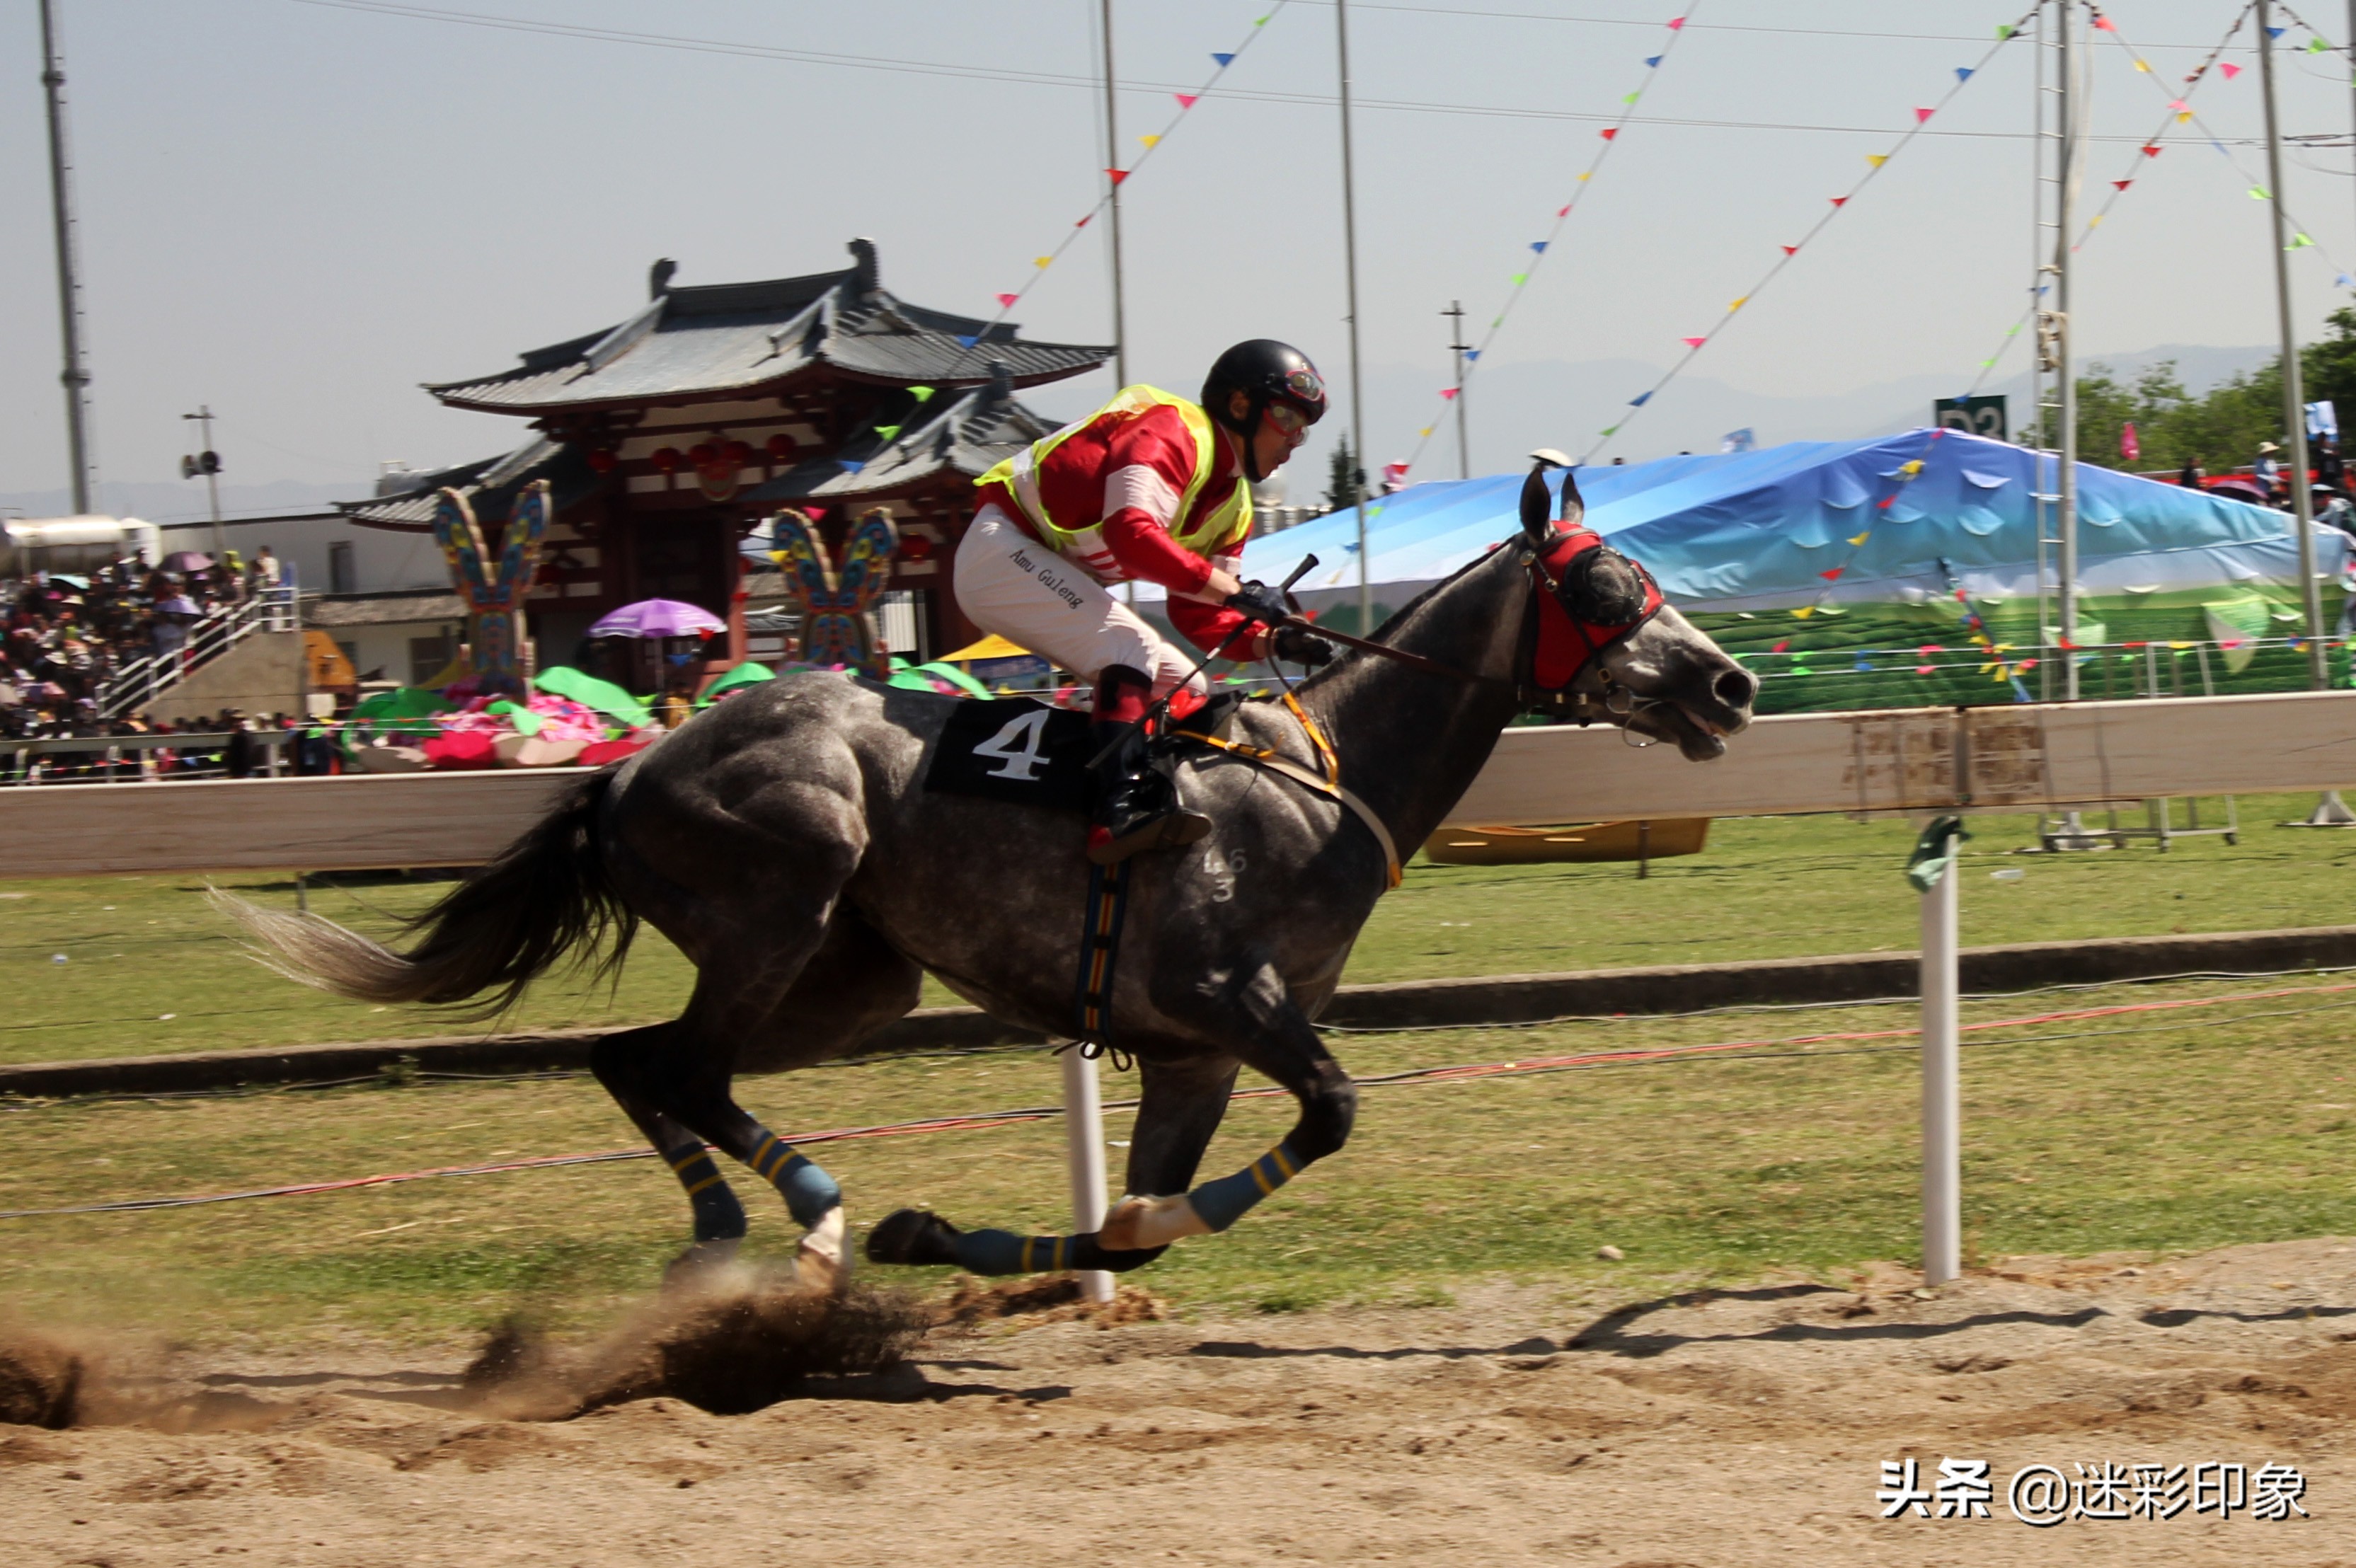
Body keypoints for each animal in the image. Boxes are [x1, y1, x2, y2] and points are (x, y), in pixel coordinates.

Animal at [229, 463, 1762, 1281]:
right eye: (1605, 587)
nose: (1732, 684)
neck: (1322, 781)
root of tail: (630, 767)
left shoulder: (1194, 1055)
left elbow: (1129, 1231)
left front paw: (956, 1233)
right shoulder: (1226, 996)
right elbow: (1326, 1114)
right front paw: (959, 1227)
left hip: (857, 977)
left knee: (636, 1058)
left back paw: (740, 1224)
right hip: (783, 899)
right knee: (682, 1066)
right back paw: (800, 1214)